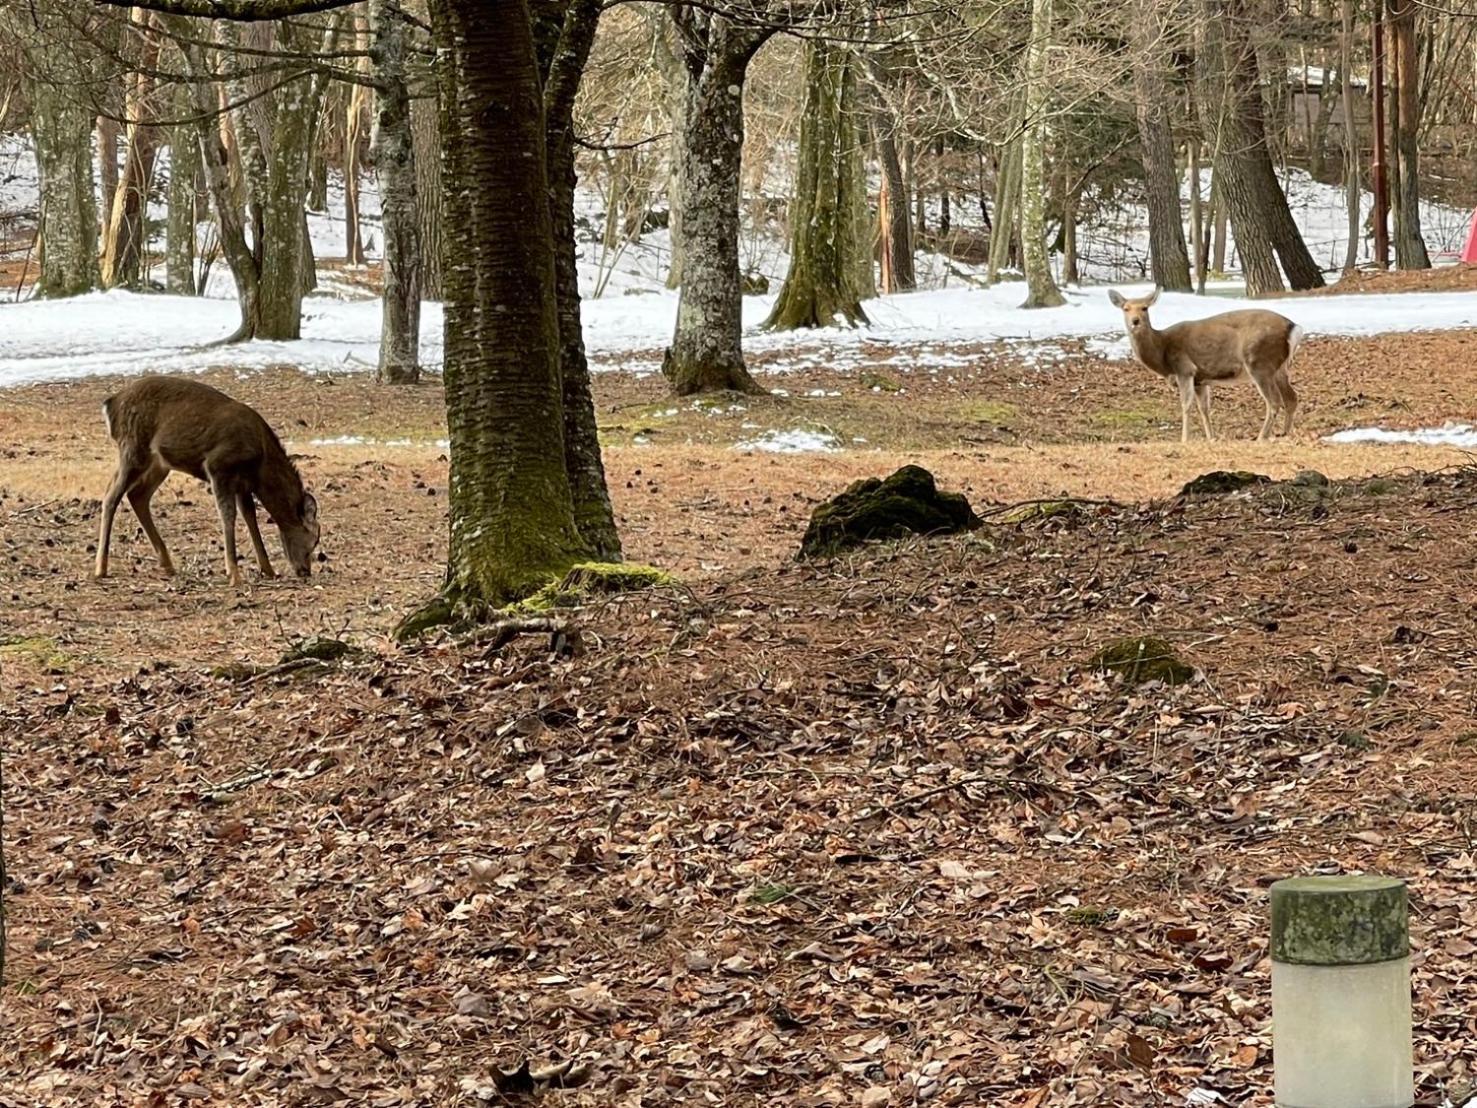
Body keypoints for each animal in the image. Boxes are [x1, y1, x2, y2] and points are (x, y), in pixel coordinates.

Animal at [96, 378, 321, 585]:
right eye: (313, 540)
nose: (305, 571)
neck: (261, 463)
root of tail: (110, 404)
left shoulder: (243, 484)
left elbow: (250, 517)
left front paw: (269, 570)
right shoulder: (218, 467)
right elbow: (228, 516)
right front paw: (234, 574)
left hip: (159, 463)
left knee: (137, 495)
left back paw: (167, 564)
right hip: (133, 449)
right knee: (111, 495)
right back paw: (101, 568)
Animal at [1110, 288, 1305, 446]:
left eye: (1145, 308)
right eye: (1125, 308)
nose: (1135, 321)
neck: (1162, 354)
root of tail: (1294, 327)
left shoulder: (1184, 369)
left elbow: (1186, 404)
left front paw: (1184, 439)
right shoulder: (1201, 380)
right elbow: (1204, 408)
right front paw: (1211, 437)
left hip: (1259, 361)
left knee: (1274, 401)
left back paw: (1261, 436)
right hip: (1280, 368)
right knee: (1291, 398)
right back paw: (1286, 433)